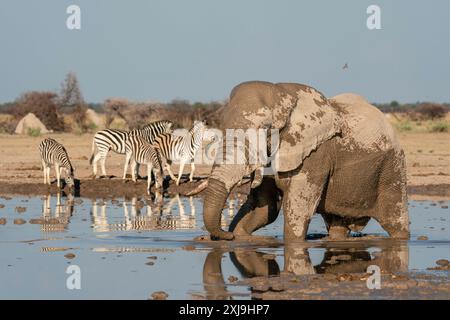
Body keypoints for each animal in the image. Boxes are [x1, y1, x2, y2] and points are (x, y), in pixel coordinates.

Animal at [202, 81, 410, 241]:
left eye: (266, 128)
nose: (224, 234)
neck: (282, 93)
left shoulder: (316, 153)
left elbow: (298, 208)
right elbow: (265, 207)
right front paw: (239, 235)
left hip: (392, 167)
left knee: (395, 222)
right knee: (336, 227)